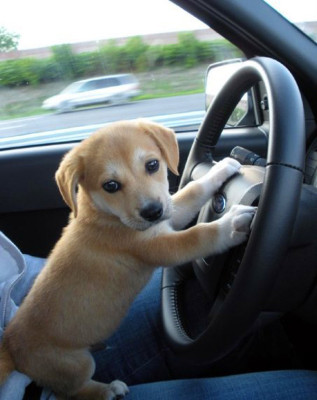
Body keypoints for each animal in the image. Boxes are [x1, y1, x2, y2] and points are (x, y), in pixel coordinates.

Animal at [0, 118, 254, 396]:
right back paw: (108, 390)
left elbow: (193, 191)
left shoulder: (170, 215)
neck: (104, 214)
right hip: (75, 364)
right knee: (70, 391)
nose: (153, 212)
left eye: (152, 165)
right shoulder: (162, 246)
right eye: (110, 185)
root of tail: (11, 346)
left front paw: (222, 169)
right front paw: (232, 225)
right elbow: (200, 235)